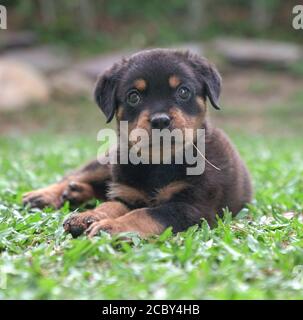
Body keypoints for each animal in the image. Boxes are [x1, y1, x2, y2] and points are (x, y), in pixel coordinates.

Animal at [22, 47, 253, 238]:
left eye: (183, 91)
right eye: (133, 97)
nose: (160, 120)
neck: (159, 161)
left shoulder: (193, 207)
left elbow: (145, 214)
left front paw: (110, 226)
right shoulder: (128, 195)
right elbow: (111, 206)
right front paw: (89, 216)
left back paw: (75, 193)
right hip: (107, 163)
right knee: (77, 175)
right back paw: (44, 195)